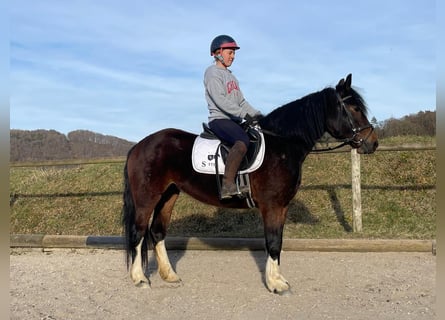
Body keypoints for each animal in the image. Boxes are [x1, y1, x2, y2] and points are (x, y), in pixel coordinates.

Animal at [119, 74, 376, 294]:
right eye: (354, 108)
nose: (372, 143)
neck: (282, 144)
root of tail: (139, 145)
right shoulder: (272, 206)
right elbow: (272, 242)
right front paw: (275, 284)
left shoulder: (282, 207)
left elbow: (278, 242)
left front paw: (279, 279)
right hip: (147, 197)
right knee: (138, 233)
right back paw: (140, 278)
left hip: (169, 194)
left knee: (157, 232)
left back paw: (170, 275)